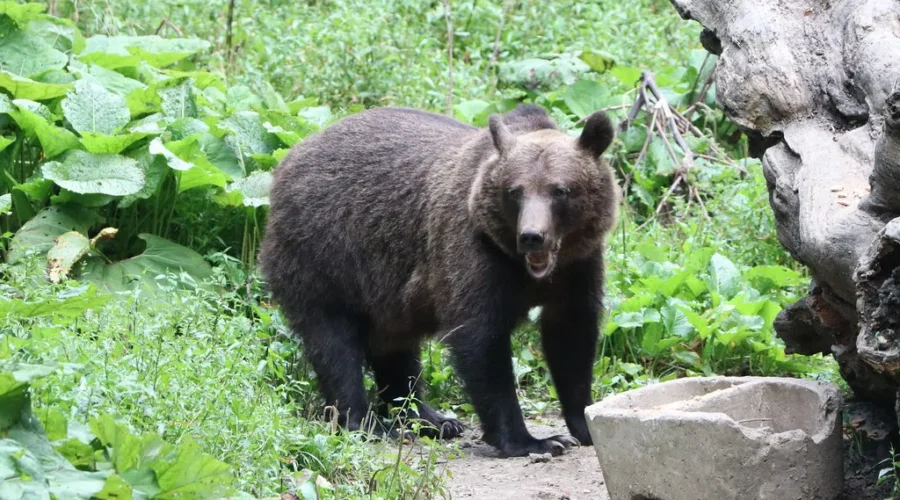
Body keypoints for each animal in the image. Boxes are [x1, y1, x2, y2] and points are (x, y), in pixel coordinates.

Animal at [259, 103, 618, 457]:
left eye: (561, 190)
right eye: (515, 191)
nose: (532, 236)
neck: (527, 269)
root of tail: (289, 158)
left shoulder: (578, 266)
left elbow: (572, 337)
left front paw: (585, 424)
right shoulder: (474, 254)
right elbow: (481, 342)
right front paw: (532, 441)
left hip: (387, 289)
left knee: (396, 349)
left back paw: (432, 419)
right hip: (325, 255)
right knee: (334, 344)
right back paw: (369, 423)